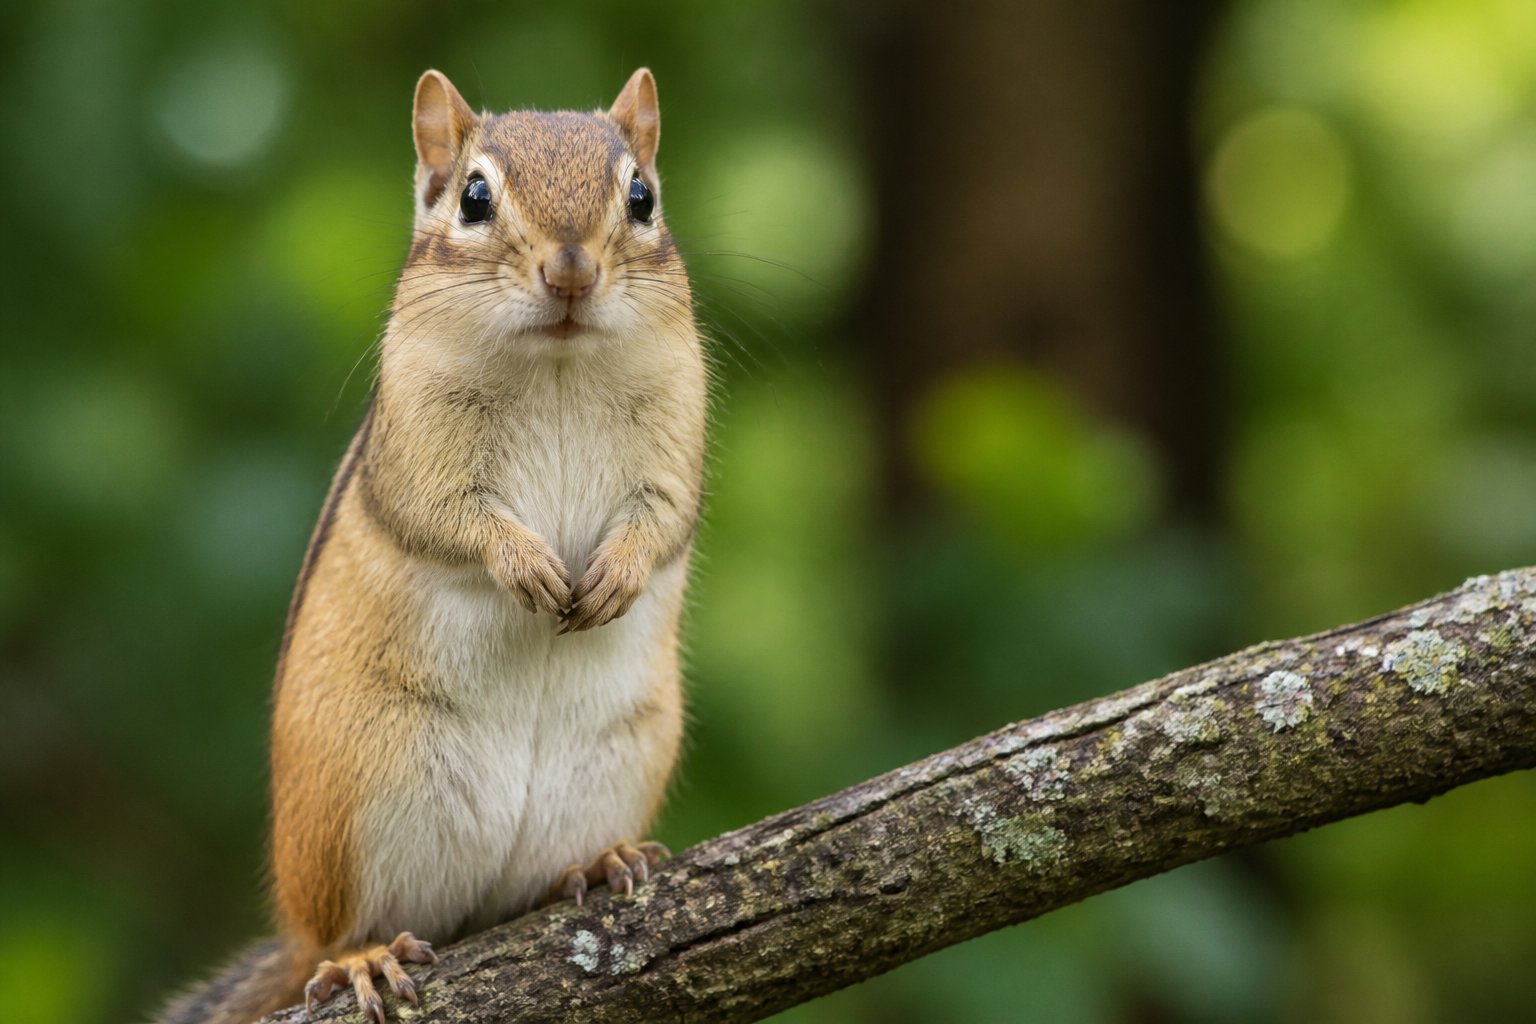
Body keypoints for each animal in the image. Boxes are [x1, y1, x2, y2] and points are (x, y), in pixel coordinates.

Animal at [156, 67, 706, 1024]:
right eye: (474, 198)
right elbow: (450, 518)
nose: (571, 269)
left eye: (642, 196)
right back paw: (365, 959)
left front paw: (615, 576)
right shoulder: (416, 449)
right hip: (356, 811)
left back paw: (600, 863)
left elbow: (665, 516)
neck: (559, 362)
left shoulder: (676, 433)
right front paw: (526, 567)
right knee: (336, 938)